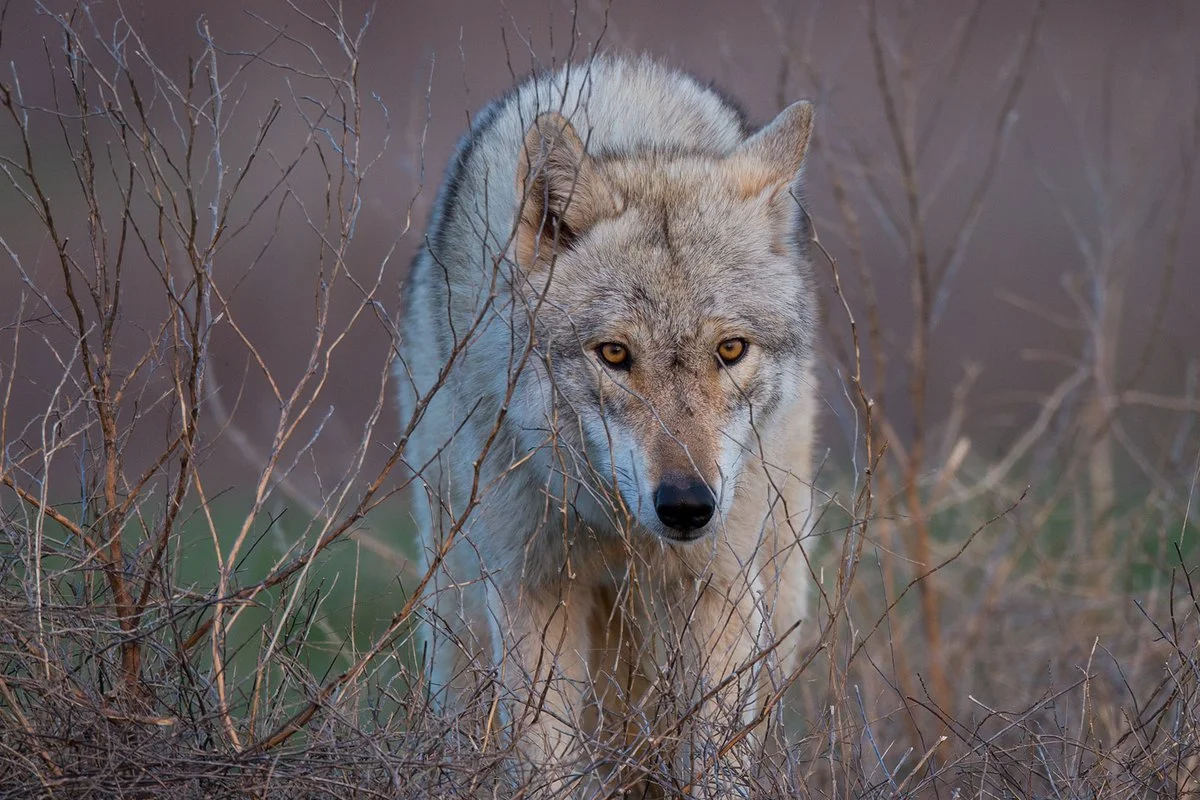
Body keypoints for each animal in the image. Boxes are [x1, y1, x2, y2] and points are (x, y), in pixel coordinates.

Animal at [398, 56, 820, 796]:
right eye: (615, 355)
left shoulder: (718, 590)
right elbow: (548, 764)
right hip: (458, 613)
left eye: (730, 349)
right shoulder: (530, 588)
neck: (618, 527)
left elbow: (715, 761)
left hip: (777, 592)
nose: (686, 506)